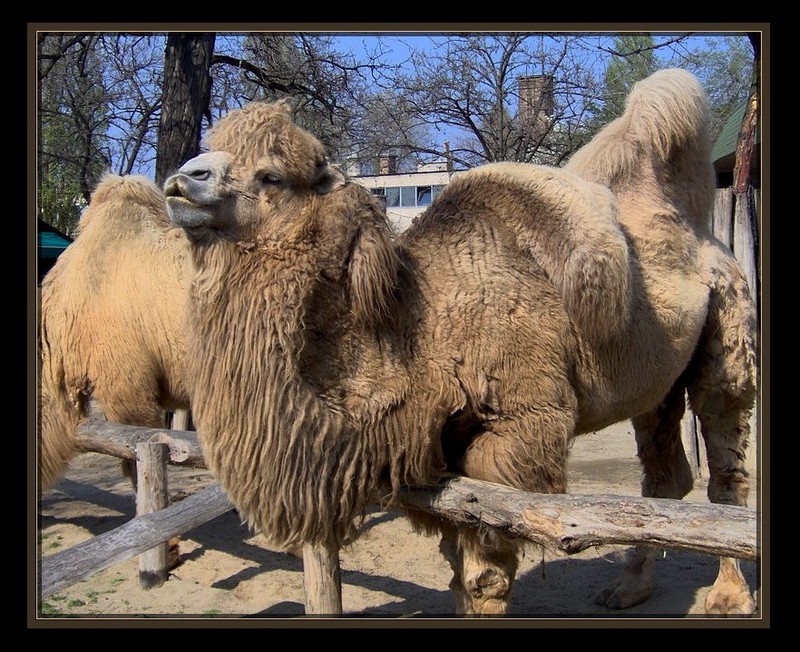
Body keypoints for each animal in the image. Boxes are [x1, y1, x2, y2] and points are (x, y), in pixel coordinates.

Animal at [161, 70, 756, 616]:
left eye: (272, 176)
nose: (182, 179)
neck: (420, 332)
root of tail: (709, 239)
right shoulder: (434, 447)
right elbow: (455, 564)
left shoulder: (519, 430)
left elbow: (484, 573)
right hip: (657, 380)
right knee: (663, 475)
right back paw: (628, 588)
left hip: (729, 339)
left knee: (724, 468)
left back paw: (728, 596)